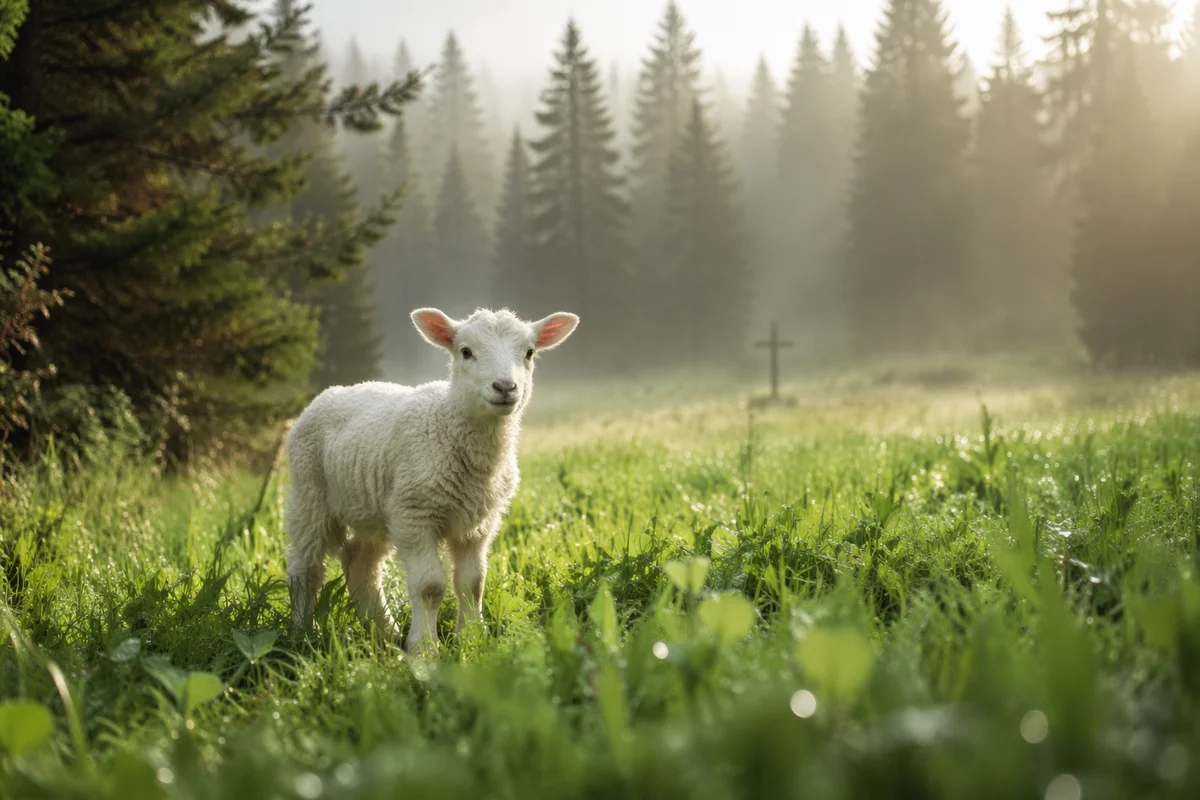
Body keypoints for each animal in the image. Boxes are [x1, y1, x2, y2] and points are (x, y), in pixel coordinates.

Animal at [284, 306, 579, 655]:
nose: (506, 387)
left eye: (529, 353)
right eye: (465, 352)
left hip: (374, 511)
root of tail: (331, 392)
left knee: (361, 565)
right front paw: (424, 649)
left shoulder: (478, 523)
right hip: (309, 491)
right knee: (305, 567)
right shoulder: (414, 515)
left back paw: (385, 634)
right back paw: (303, 633)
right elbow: (430, 586)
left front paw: (472, 638)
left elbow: (472, 582)